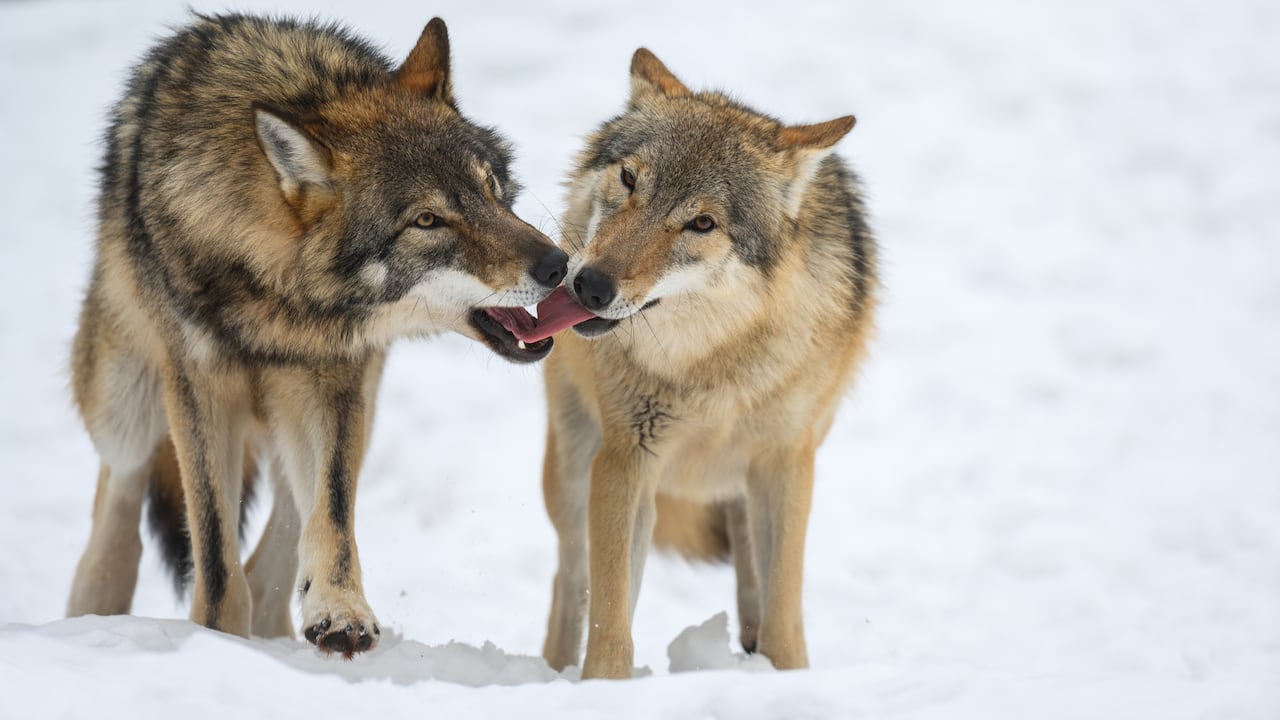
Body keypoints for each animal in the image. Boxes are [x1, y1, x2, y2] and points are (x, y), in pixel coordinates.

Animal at [65, 13, 567, 657]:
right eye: (427, 220)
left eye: (491, 190)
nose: (559, 264)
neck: (275, 295)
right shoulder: (199, 388)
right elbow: (216, 553)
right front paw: (217, 640)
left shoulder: (333, 375)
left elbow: (329, 513)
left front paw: (339, 610)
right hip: (125, 406)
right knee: (120, 494)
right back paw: (93, 611)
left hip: (349, 408)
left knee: (280, 543)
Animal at [530, 49, 878, 678]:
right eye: (630, 180)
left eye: (702, 223)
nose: (589, 284)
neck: (713, 362)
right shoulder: (626, 458)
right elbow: (610, 613)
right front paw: (602, 686)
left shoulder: (788, 462)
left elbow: (785, 606)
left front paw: (787, 674)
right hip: (569, 474)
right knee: (569, 581)